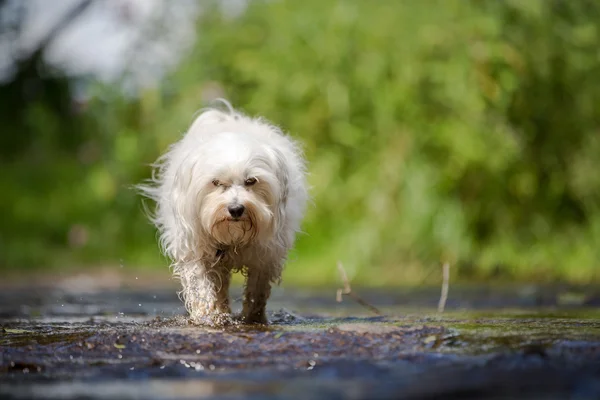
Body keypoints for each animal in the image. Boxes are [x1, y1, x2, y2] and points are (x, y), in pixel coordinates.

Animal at [140, 101, 308, 324]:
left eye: (251, 181)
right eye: (216, 182)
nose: (236, 209)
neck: (233, 239)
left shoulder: (265, 255)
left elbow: (257, 290)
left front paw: (253, 317)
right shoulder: (195, 249)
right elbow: (201, 287)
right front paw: (207, 317)